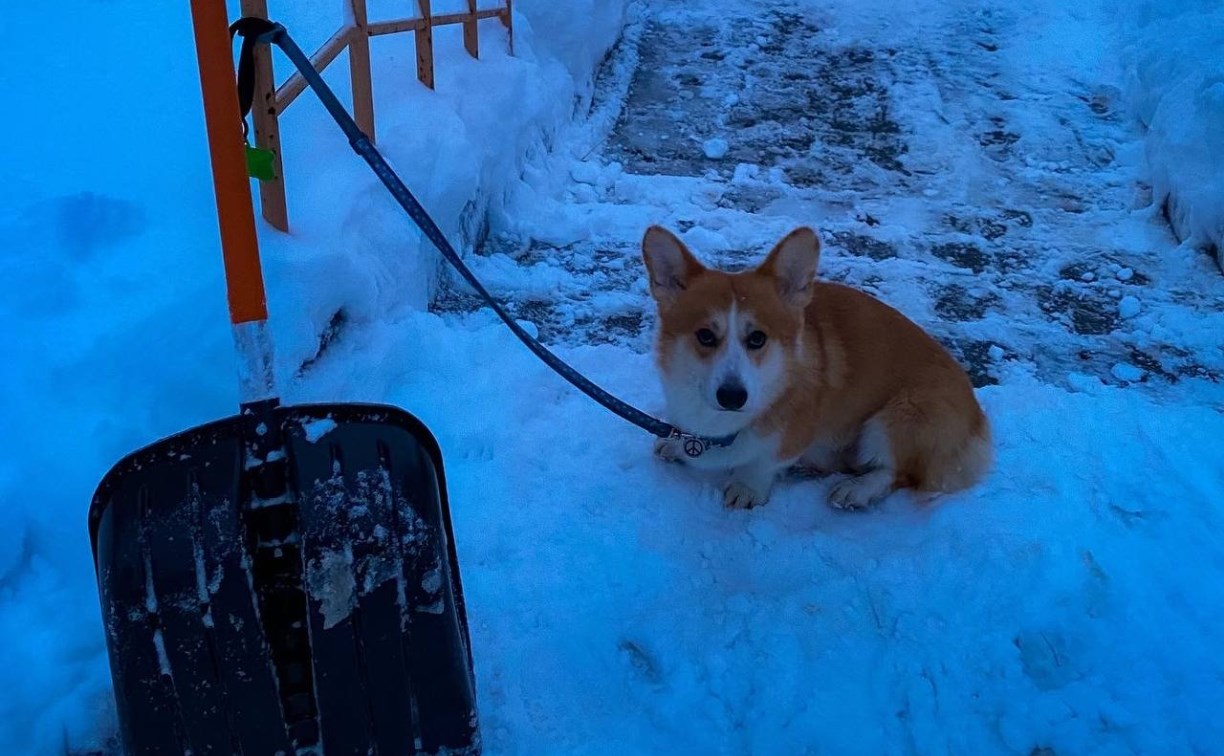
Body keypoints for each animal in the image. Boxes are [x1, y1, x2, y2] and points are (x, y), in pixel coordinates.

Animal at [646, 223, 988, 506]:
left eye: (757, 338)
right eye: (705, 335)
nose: (732, 397)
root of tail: (978, 417)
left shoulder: (790, 437)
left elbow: (763, 463)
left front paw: (747, 488)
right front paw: (674, 444)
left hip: (900, 414)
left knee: (898, 472)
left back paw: (856, 489)